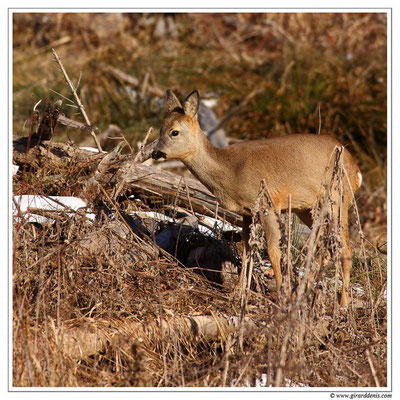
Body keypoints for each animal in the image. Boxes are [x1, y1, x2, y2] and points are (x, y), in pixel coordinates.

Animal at [152, 89, 362, 306]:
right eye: (160, 129)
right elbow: (246, 249)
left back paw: (342, 302)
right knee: (328, 247)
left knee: (345, 248)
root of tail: (356, 170)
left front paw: (280, 297)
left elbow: (273, 251)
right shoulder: (247, 212)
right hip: (308, 209)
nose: (156, 153)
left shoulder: (268, 204)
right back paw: (301, 292)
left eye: (174, 132)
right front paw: (238, 293)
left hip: (338, 199)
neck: (230, 171)